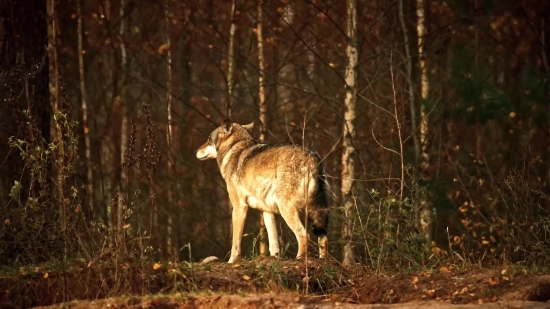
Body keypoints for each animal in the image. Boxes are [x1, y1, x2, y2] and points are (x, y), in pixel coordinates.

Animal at [196, 118, 330, 262]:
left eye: (208, 138)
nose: (195, 151)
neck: (234, 148)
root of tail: (313, 156)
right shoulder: (267, 211)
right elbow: (273, 243)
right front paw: (274, 258)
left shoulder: (239, 207)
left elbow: (235, 243)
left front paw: (231, 262)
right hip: (314, 210)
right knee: (323, 238)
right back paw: (324, 261)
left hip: (287, 209)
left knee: (304, 235)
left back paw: (298, 259)